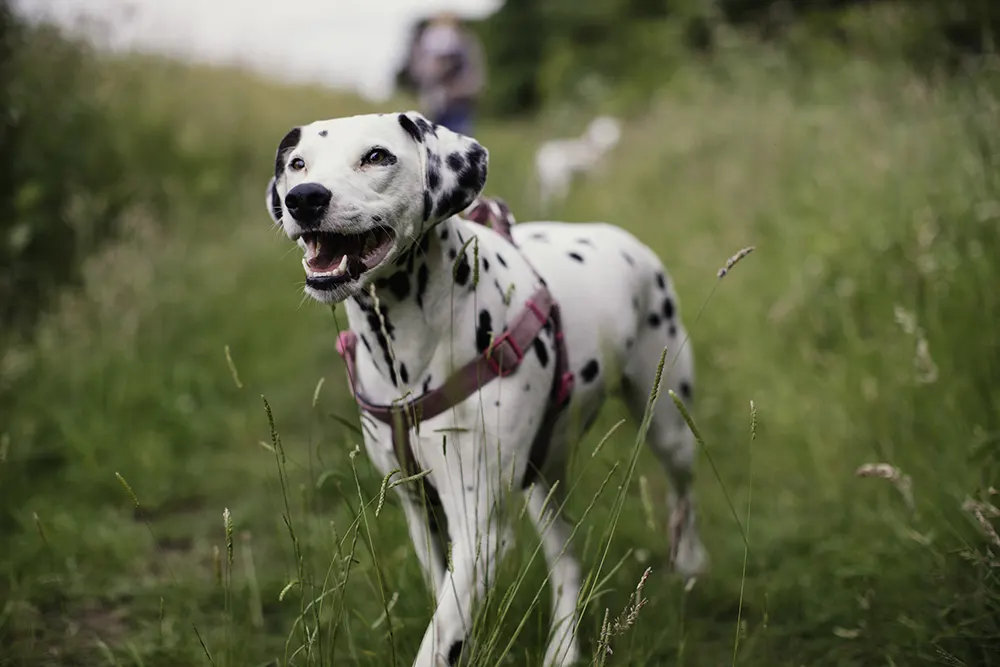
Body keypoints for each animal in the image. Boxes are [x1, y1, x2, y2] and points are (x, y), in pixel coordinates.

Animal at [262, 112, 708, 664]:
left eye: (377, 156)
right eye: (297, 164)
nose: (304, 198)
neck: (406, 355)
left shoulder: (480, 529)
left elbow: (438, 639)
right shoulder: (421, 512)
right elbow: (447, 611)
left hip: (669, 424)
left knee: (683, 495)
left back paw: (689, 559)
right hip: (543, 477)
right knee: (566, 559)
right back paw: (564, 647)